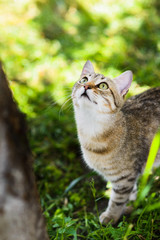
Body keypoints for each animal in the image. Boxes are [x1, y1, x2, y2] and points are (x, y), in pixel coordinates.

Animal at [72, 60, 160, 225]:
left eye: (103, 86)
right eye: (84, 80)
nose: (86, 86)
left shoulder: (125, 177)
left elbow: (117, 200)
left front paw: (111, 216)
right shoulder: (128, 176)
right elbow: (131, 192)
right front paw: (130, 204)